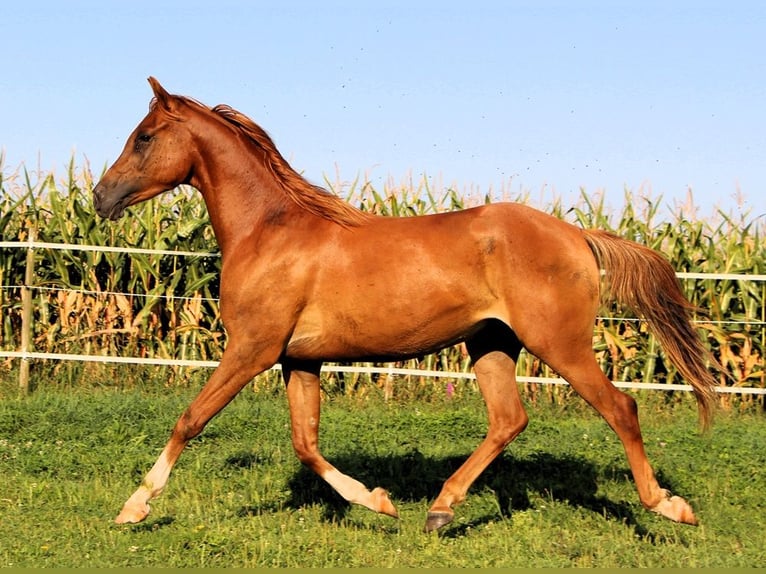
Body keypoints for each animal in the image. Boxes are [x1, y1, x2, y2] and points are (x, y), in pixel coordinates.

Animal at [91, 77, 720, 536]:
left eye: (144, 136)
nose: (100, 196)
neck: (269, 231)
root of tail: (576, 235)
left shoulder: (253, 349)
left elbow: (190, 419)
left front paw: (133, 508)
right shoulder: (299, 358)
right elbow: (306, 444)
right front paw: (379, 501)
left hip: (558, 344)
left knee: (620, 409)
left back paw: (669, 507)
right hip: (491, 343)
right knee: (509, 419)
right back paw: (440, 510)